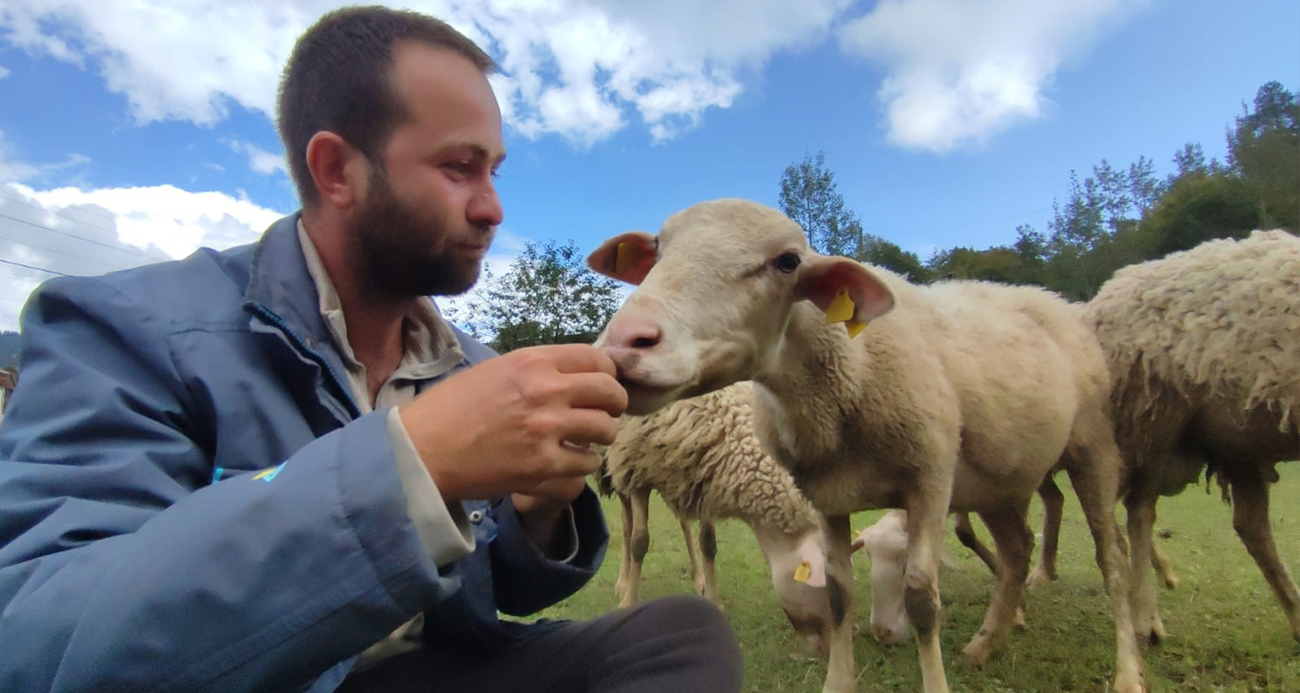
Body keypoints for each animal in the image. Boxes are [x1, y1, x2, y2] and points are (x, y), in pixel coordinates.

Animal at [598, 382, 832, 655]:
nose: (827, 648)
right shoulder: (637, 469)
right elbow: (639, 542)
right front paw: (629, 602)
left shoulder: (702, 476)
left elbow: (707, 543)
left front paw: (712, 597)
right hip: (617, 467)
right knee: (627, 525)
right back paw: (623, 582)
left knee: (684, 524)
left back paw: (697, 576)